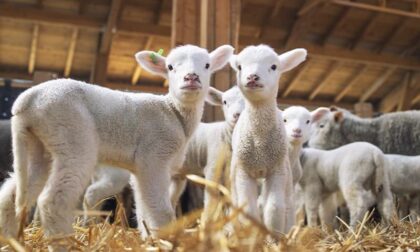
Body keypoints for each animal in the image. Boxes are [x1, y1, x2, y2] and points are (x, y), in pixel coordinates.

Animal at [9, 43, 235, 248]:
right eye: (170, 67)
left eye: (207, 65)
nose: (191, 78)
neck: (173, 111)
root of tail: (27, 100)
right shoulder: (154, 157)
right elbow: (161, 209)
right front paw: (165, 240)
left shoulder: (142, 169)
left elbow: (144, 206)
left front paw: (148, 237)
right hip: (72, 138)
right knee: (52, 201)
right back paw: (64, 243)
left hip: (37, 144)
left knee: (12, 194)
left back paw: (10, 238)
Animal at [228, 44, 306, 235]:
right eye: (239, 67)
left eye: (274, 66)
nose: (252, 77)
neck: (259, 143)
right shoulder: (243, 171)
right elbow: (248, 210)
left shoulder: (276, 170)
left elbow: (274, 208)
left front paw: (274, 238)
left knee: (288, 204)